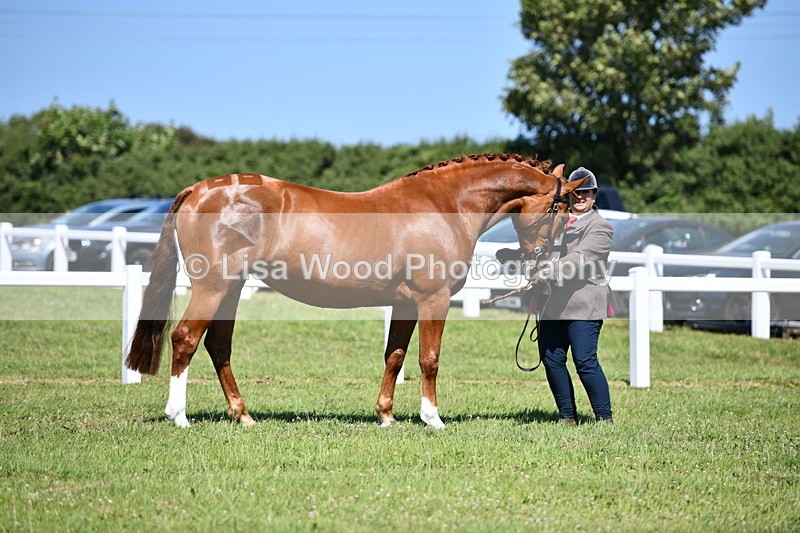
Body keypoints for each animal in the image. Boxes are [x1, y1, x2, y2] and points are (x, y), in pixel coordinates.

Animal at [125, 153, 587, 428]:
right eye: (559, 210)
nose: (541, 263)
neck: (444, 204)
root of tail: (200, 189)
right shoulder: (433, 299)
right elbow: (429, 359)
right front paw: (432, 419)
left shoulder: (405, 304)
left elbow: (395, 356)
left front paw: (386, 417)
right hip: (214, 286)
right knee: (185, 339)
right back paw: (179, 416)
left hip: (232, 289)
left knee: (218, 345)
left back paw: (244, 417)